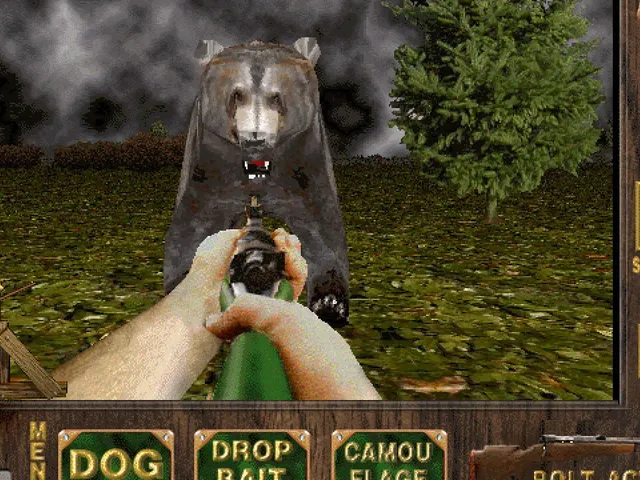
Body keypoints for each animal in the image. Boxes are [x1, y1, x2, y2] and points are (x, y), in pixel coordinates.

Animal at [163, 37, 350, 327]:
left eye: (276, 97)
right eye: (237, 94)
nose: (256, 137)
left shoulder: (303, 160)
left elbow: (321, 227)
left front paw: (330, 302)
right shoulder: (213, 162)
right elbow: (194, 224)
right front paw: (184, 281)